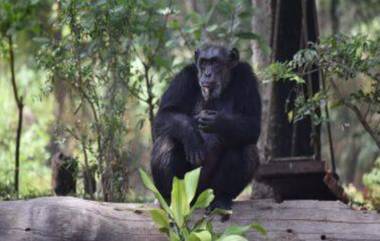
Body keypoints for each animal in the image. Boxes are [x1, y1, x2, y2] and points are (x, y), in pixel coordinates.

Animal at [151, 44, 262, 210]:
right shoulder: (183, 77)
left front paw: (216, 121)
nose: (207, 73)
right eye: (203, 62)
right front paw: (191, 134)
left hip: (208, 190)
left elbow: (253, 123)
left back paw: (222, 199)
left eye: (215, 62)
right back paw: (170, 201)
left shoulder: (247, 76)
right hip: (186, 186)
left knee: (245, 147)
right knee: (166, 141)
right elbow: (163, 116)